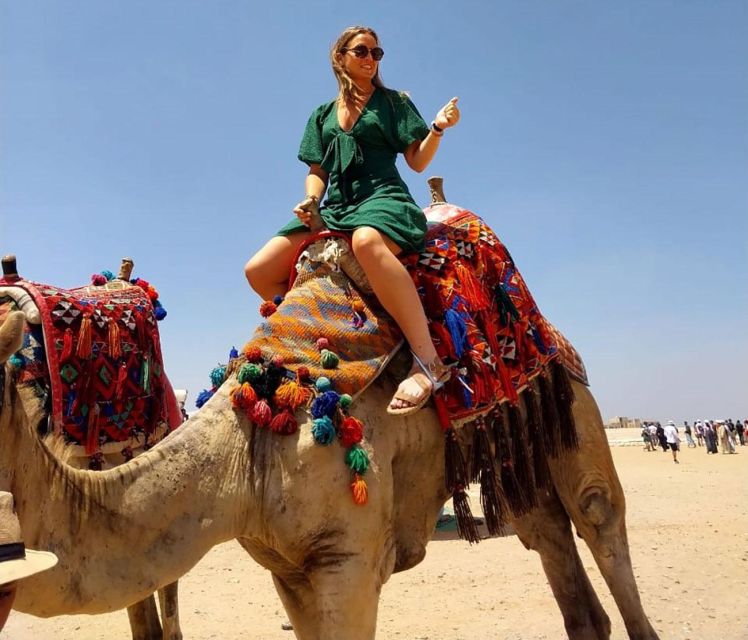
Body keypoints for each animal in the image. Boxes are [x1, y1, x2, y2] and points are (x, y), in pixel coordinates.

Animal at [0, 297, 658, 639]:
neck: (243, 456)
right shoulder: (286, 565)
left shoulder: (351, 556)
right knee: (546, 534)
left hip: (571, 397)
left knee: (597, 511)